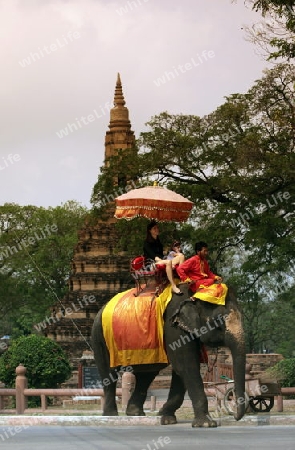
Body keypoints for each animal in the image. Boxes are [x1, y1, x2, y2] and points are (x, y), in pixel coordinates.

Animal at [91, 284, 246, 428]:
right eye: (218, 323)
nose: (236, 416)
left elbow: (182, 369)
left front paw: (165, 417)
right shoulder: (173, 326)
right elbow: (186, 366)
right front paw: (206, 424)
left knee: (146, 374)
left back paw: (135, 413)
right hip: (100, 337)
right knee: (108, 373)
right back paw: (110, 415)